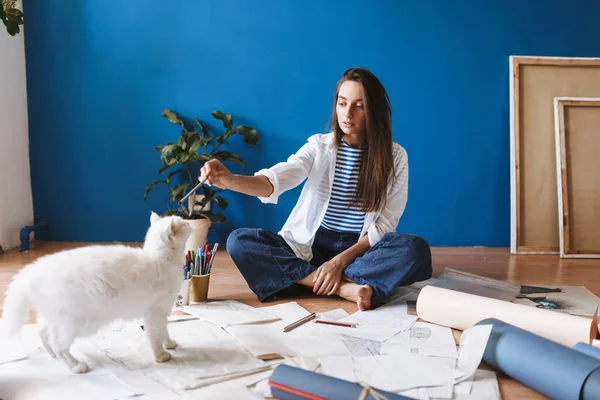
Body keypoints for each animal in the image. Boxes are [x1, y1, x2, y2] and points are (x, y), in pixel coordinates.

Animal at [0, 211, 192, 374]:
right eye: (184, 222)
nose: (191, 222)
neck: (160, 260)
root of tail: (32, 269)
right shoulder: (154, 312)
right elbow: (155, 336)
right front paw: (161, 356)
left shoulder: (163, 311)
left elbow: (164, 331)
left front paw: (170, 344)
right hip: (72, 322)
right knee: (58, 345)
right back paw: (76, 366)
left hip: (54, 318)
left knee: (43, 333)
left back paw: (54, 357)